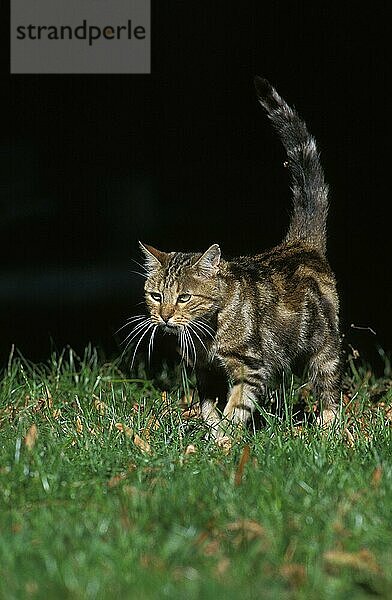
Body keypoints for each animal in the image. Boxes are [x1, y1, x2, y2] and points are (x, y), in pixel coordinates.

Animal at [132, 77, 340, 438]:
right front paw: (213, 434)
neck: (208, 334)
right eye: (156, 296)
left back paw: (330, 431)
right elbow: (207, 408)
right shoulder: (205, 371)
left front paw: (226, 439)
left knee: (329, 392)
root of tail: (300, 243)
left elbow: (237, 406)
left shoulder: (251, 367)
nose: (165, 316)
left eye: (184, 297)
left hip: (324, 349)